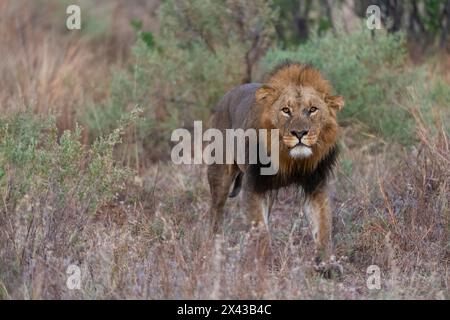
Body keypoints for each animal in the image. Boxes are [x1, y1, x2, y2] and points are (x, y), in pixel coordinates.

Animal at [207, 62, 344, 272]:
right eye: (286, 110)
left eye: (313, 109)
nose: (299, 133)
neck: (291, 160)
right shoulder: (253, 186)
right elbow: (261, 230)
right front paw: (263, 266)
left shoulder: (316, 186)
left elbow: (323, 227)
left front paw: (327, 265)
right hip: (219, 175)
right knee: (215, 213)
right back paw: (214, 252)